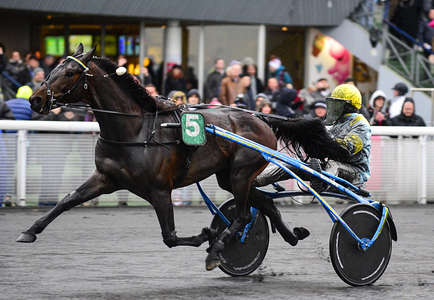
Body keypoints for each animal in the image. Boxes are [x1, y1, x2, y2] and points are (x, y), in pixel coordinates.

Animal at [17, 45, 350, 272]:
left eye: (70, 73)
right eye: (53, 68)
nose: (35, 99)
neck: (135, 129)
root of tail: (261, 118)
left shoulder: (159, 189)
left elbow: (170, 236)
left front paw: (207, 235)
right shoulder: (106, 178)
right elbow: (67, 200)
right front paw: (29, 231)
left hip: (242, 172)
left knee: (243, 215)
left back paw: (217, 248)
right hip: (230, 176)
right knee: (264, 202)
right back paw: (290, 235)